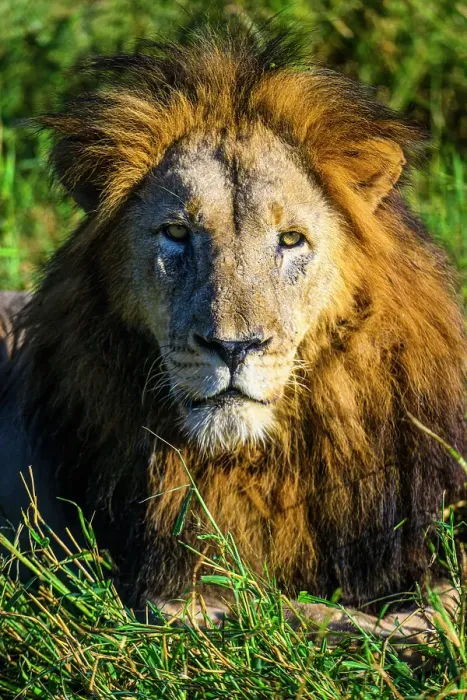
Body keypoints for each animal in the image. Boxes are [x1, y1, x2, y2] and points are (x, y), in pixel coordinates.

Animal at [0, 26, 465, 641]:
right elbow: (268, 609)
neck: (258, 462)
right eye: (177, 232)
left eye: (290, 239)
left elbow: (443, 595)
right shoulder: (161, 587)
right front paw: (390, 628)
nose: (233, 348)